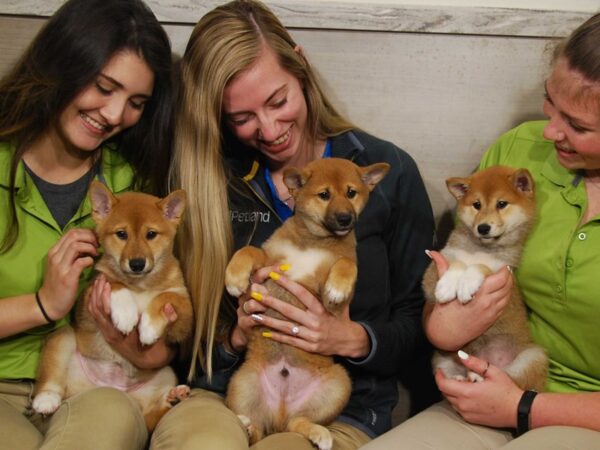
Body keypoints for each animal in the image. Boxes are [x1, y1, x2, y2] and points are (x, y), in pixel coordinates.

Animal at [32, 181, 195, 430]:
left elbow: (164, 298)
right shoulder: (92, 292)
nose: (137, 264)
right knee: (50, 377)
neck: (140, 284)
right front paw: (126, 315)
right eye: (121, 234)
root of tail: (112, 387)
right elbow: (115, 283)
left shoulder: (183, 312)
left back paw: (176, 396)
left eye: (151, 234)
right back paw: (46, 399)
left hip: (165, 373)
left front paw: (148, 328)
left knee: (155, 413)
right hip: (63, 338)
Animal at [225, 157, 390, 450]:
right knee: (256, 431)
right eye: (324, 195)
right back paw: (246, 426)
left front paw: (338, 286)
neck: (314, 241)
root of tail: (280, 411)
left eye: (351, 193)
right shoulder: (268, 262)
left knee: (296, 422)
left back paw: (317, 432)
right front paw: (234, 276)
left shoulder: (332, 280)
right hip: (242, 384)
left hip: (338, 384)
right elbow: (249, 250)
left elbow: (346, 264)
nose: (346, 218)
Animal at [424, 165, 548, 390]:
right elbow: (456, 264)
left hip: (533, 356)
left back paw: (479, 378)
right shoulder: (435, 268)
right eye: (477, 205)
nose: (483, 228)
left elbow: (481, 267)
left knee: (512, 380)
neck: (479, 250)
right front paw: (448, 285)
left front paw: (467, 282)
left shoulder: (503, 272)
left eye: (502, 204)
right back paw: (463, 377)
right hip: (441, 358)